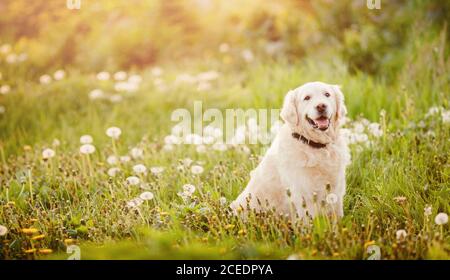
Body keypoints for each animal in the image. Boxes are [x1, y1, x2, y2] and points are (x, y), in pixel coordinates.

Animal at [232, 81, 352, 219]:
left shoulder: (337, 191)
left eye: (327, 94)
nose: (321, 106)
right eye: (307, 98)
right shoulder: (305, 196)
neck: (316, 146)